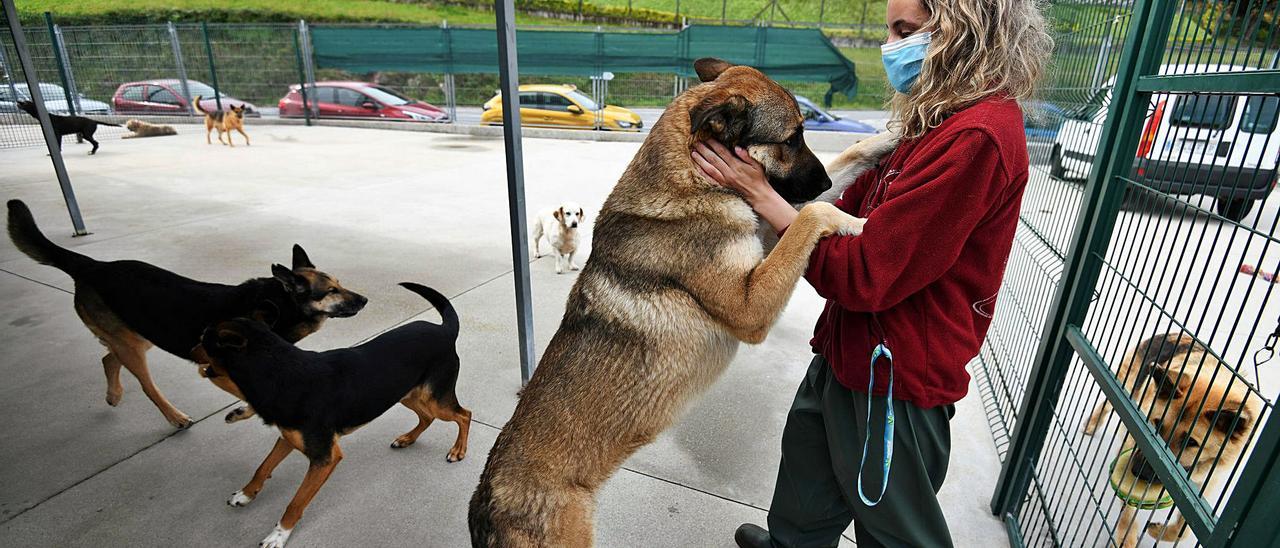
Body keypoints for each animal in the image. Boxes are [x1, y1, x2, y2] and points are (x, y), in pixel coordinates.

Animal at [6, 198, 366, 425]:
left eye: (340, 283)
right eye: (331, 291)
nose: (364, 299)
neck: (275, 303)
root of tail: (93, 266)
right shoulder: (214, 367)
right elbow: (251, 397)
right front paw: (243, 412)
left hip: (141, 333)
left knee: (108, 358)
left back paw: (114, 395)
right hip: (134, 343)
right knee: (145, 385)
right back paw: (174, 416)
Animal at [189, 282, 471, 548]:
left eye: (204, 339)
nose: (190, 350)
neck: (281, 372)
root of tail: (444, 330)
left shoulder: (325, 458)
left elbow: (295, 502)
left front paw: (279, 534)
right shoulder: (289, 437)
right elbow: (263, 466)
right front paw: (246, 494)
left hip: (435, 398)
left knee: (464, 415)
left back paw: (458, 450)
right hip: (406, 394)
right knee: (427, 417)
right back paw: (407, 439)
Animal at [465, 57, 896, 545]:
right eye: (791, 139)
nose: (820, 180)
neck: (691, 179)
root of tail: (484, 502)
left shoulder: (765, 239)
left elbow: (840, 169)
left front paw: (890, 136)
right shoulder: (751, 306)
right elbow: (810, 214)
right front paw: (856, 222)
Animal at [1085, 332, 1264, 548]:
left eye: (1191, 443)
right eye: (1156, 424)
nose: (1137, 471)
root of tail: (1174, 333)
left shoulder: (1205, 484)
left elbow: (1183, 529)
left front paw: (1160, 532)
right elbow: (1128, 512)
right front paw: (1125, 539)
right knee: (1105, 405)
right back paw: (1091, 425)